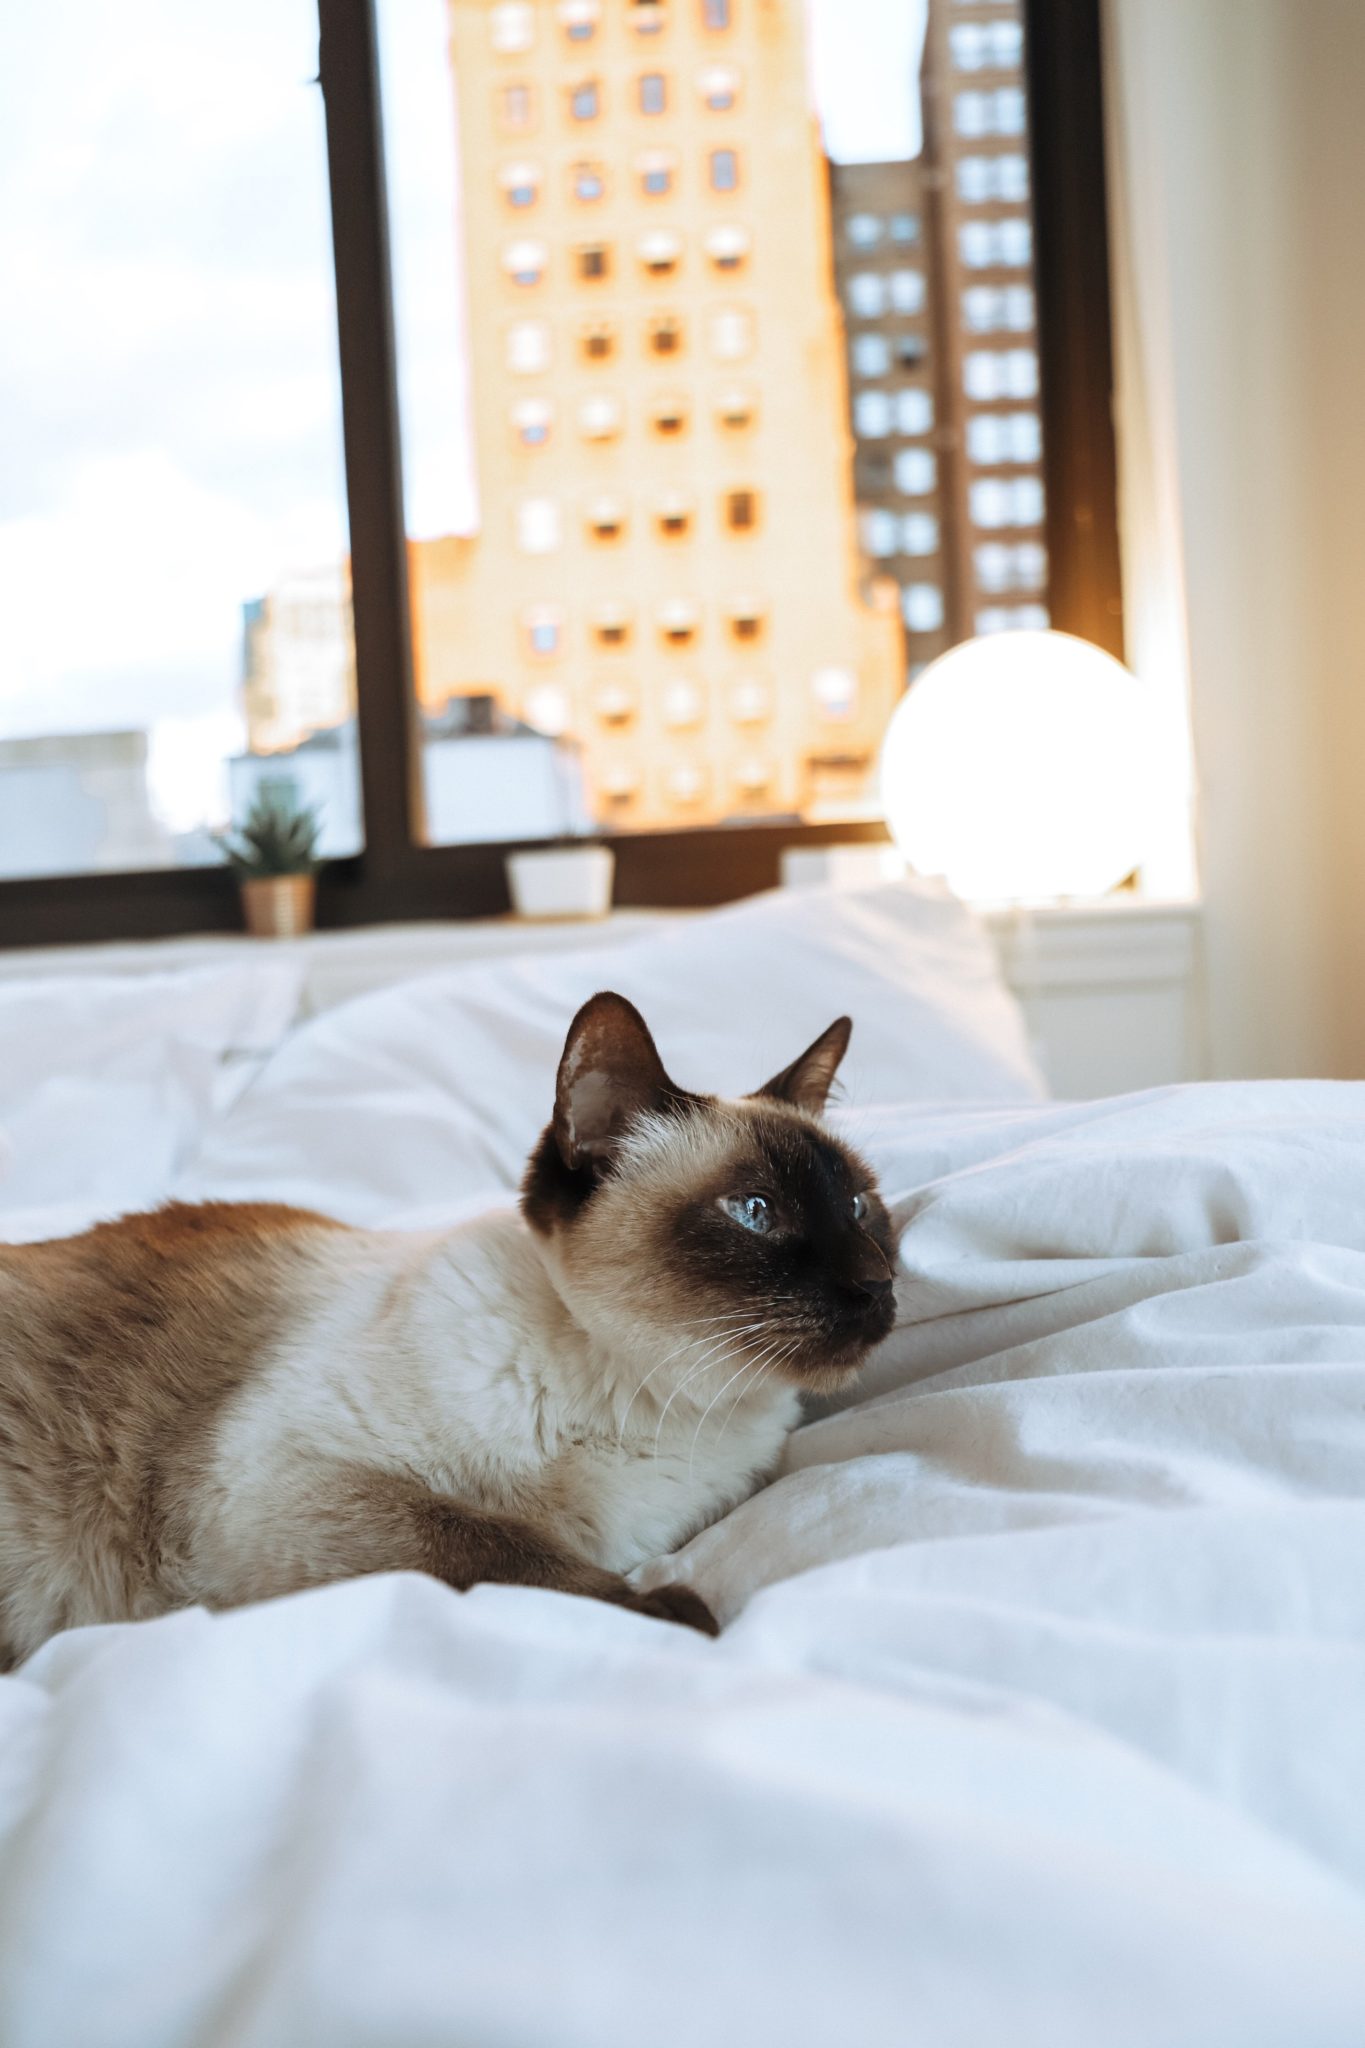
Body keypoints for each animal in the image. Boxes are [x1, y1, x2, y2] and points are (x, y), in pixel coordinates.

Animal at [0, 987, 896, 1662]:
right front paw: (679, 1616)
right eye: (755, 1212)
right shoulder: (293, 1489)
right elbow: (497, 1544)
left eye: (859, 1206)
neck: (644, 1403)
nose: (879, 1283)